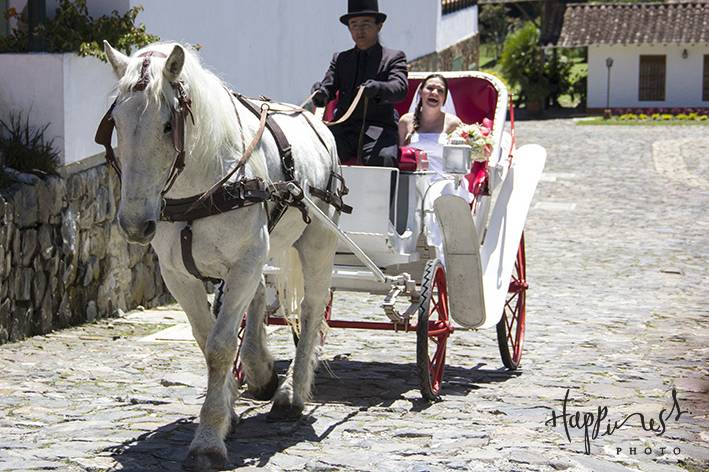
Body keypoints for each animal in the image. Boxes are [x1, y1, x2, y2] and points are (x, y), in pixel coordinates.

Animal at [102, 41, 340, 468]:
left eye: (168, 125)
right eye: (117, 124)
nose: (134, 224)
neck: (202, 186)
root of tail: (315, 121)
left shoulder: (244, 262)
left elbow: (219, 346)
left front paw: (209, 439)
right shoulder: (179, 275)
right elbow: (204, 337)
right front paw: (228, 408)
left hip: (317, 241)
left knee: (312, 309)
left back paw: (291, 393)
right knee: (261, 296)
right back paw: (261, 371)